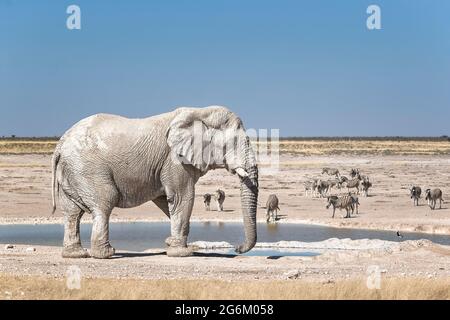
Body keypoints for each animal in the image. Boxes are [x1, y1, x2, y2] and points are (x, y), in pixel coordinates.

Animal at [51, 106, 258, 258]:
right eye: (233, 143)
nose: (237, 248)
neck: (200, 112)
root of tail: (60, 144)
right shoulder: (174, 160)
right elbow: (182, 197)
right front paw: (182, 253)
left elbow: (167, 201)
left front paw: (172, 243)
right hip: (87, 168)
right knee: (104, 202)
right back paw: (106, 254)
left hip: (72, 170)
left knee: (72, 212)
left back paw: (75, 254)